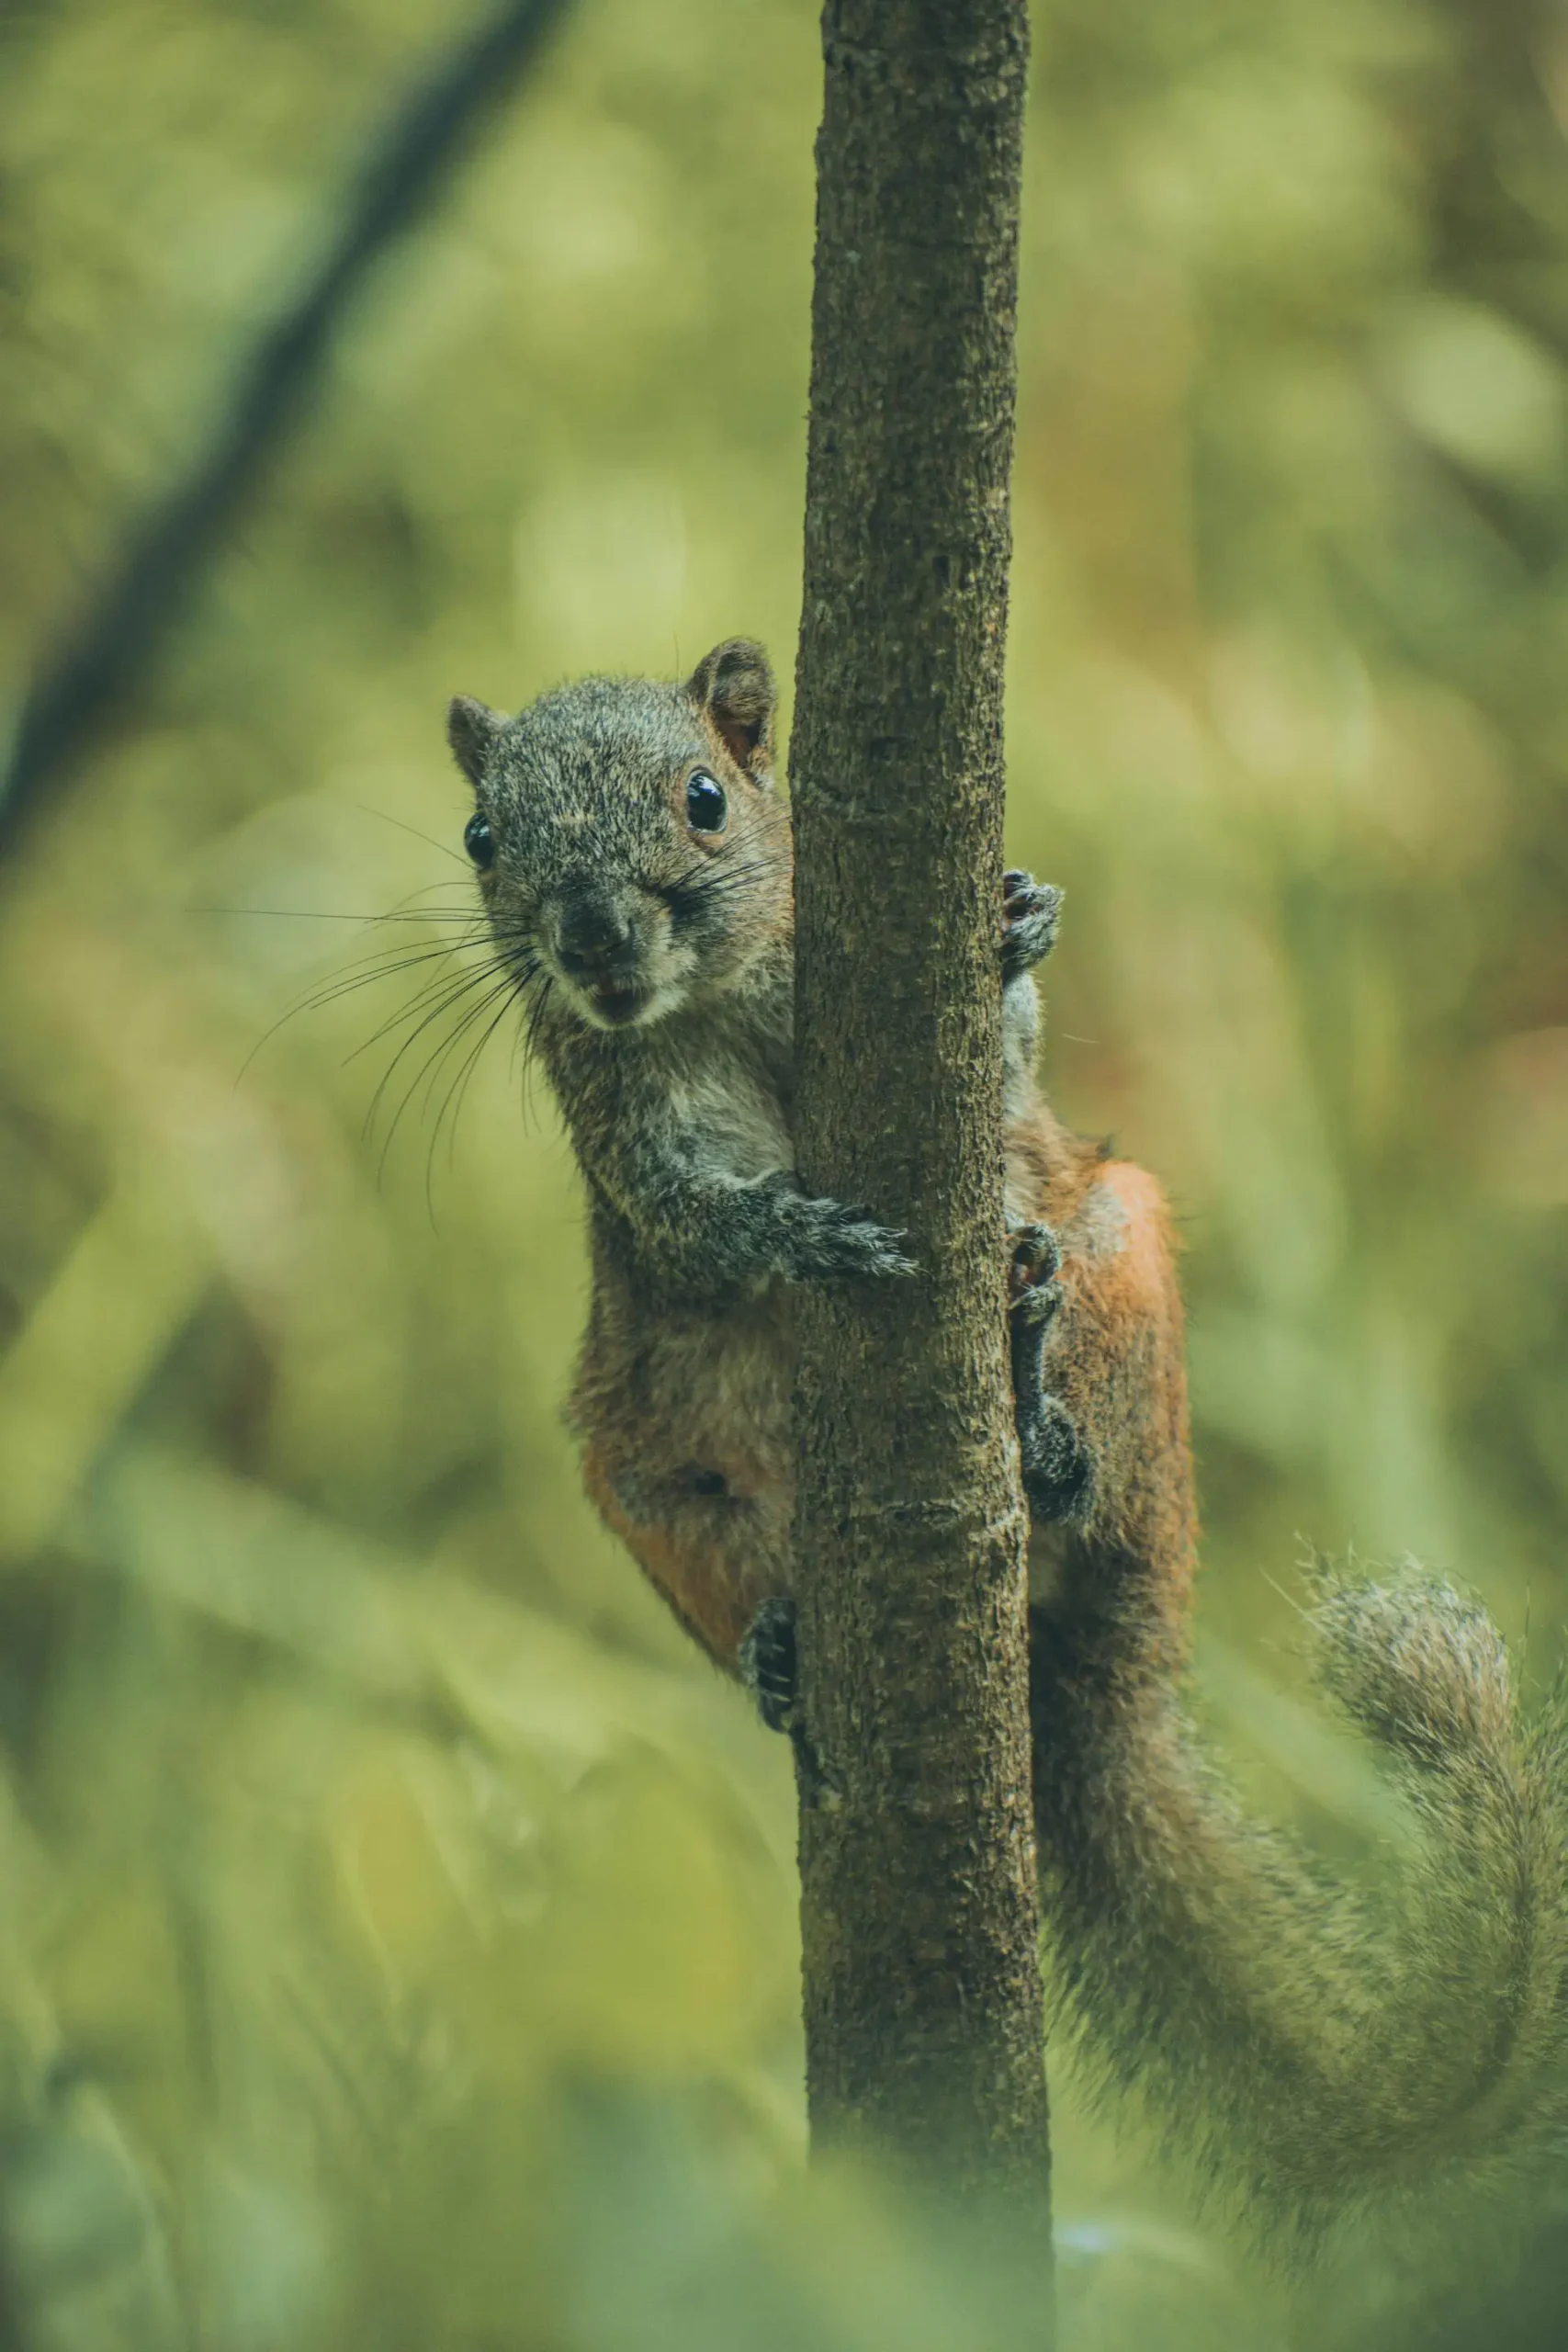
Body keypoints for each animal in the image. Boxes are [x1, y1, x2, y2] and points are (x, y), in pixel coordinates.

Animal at [445, 637, 1568, 2253]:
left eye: (705, 798)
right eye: (483, 836)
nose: (591, 941)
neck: (710, 1001)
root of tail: (1078, 1683)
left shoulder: (955, 1071)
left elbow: (1009, 1062)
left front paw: (1020, 925)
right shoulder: (625, 1122)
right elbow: (693, 1215)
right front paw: (798, 1236)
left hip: (1121, 1263)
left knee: (1086, 1426)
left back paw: (1039, 1424)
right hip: (639, 1465)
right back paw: (779, 1645)